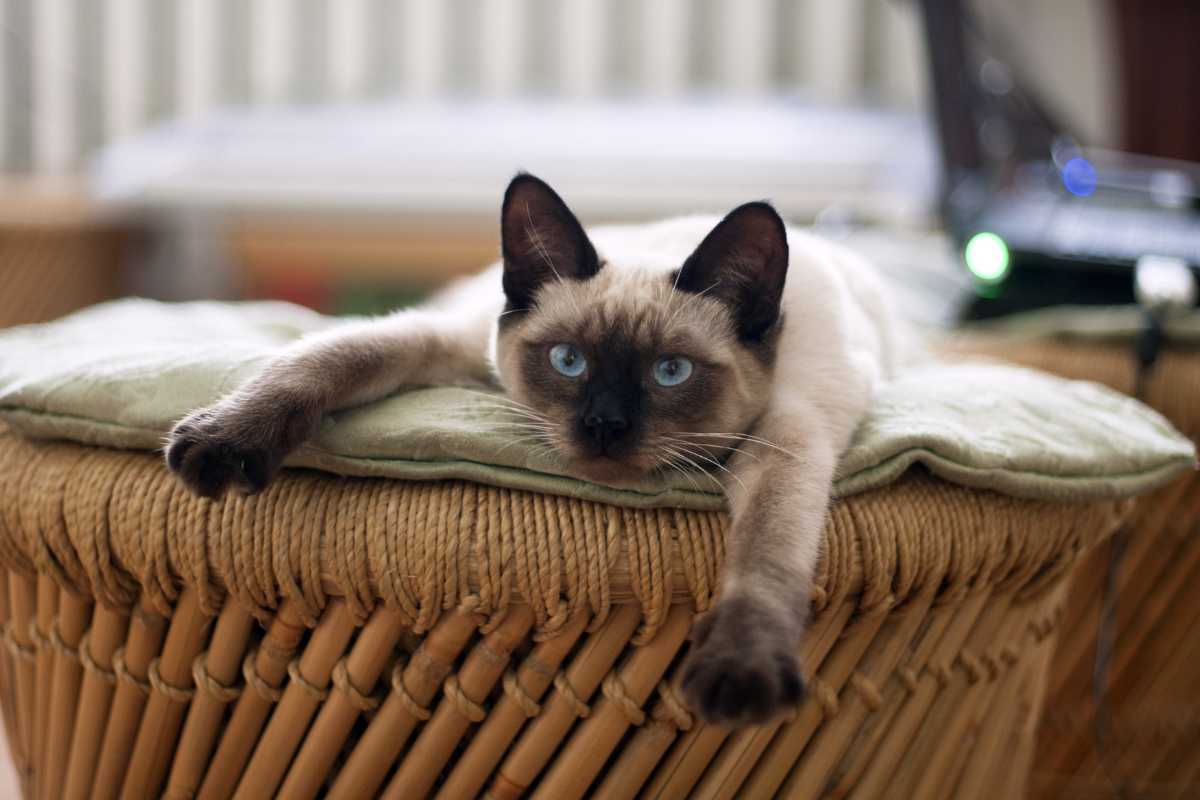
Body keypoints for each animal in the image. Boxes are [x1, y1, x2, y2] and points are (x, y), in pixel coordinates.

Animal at [164, 175, 902, 724]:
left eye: (670, 373)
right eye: (568, 361)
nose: (604, 426)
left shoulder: (787, 442)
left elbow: (765, 554)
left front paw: (740, 673)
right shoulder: (448, 344)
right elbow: (329, 358)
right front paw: (222, 441)